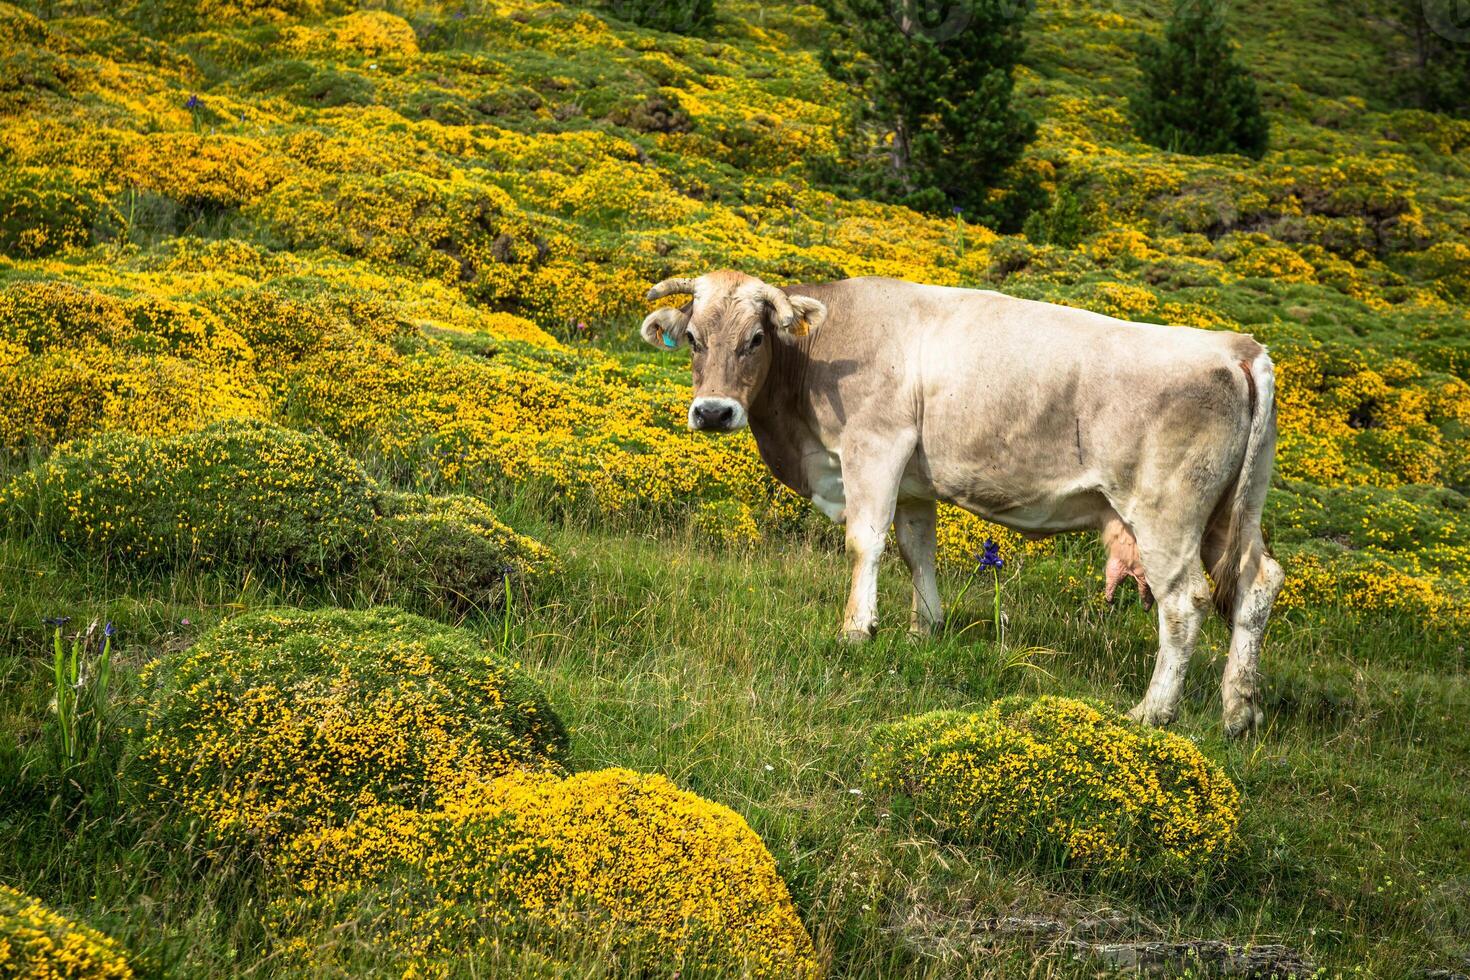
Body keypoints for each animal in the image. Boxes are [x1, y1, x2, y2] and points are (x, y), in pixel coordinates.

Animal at [637, 268, 1281, 734]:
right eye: (692, 338)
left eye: (755, 339)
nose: (713, 412)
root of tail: (1236, 345)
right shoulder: (913, 481)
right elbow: (915, 549)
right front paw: (925, 629)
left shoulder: (875, 446)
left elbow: (865, 542)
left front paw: (857, 629)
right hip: (1232, 515)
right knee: (1258, 584)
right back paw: (1239, 712)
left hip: (1167, 513)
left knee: (1185, 602)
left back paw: (1153, 713)